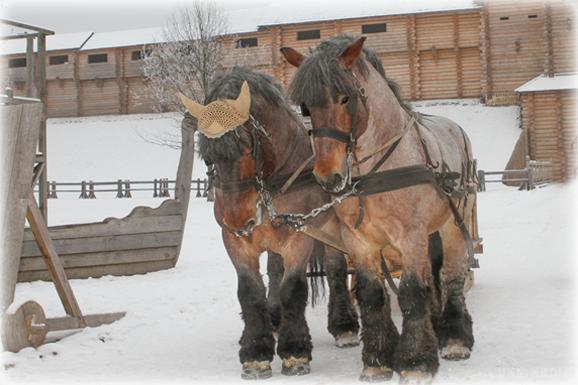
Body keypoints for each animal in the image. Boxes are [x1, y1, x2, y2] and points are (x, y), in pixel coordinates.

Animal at [179, 68, 360, 378]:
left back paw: (343, 325)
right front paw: (255, 351)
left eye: (246, 145)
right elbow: (251, 292)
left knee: (336, 269)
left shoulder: (300, 236)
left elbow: (294, 288)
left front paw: (295, 351)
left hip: (331, 229)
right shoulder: (235, 240)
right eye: (208, 155)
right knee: (275, 270)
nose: (238, 219)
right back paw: (274, 319)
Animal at [282, 36, 474, 380]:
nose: (328, 176)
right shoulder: (360, 242)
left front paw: (415, 361)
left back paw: (455, 339)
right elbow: (372, 295)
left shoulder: (411, 236)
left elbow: (412, 292)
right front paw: (378, 360)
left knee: (452, 274)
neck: (373, 174)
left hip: (454, 223)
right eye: (306, 107)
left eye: (345, 97)